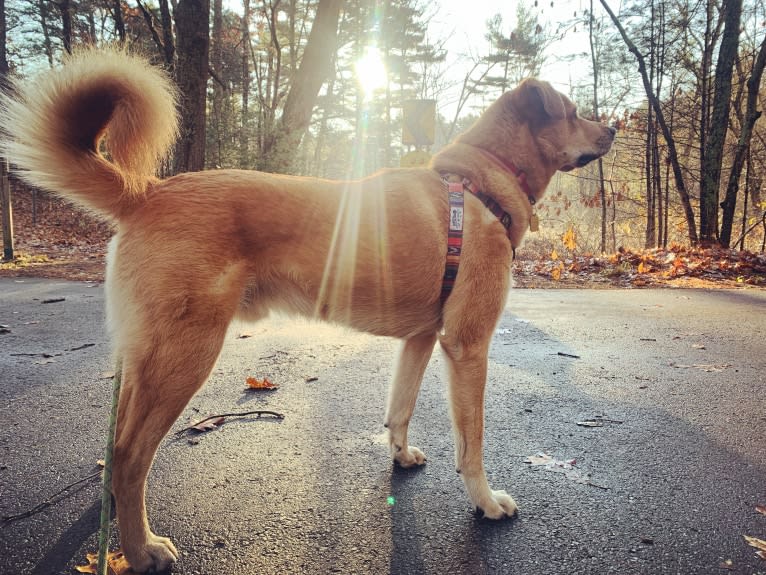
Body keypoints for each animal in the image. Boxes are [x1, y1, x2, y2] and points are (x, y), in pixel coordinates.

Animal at [0, 50, 612, 575]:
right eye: (573, 112)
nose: (610, 130)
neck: (478, 186)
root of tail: (147, 192)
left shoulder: (419, 339)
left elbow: (400, 408)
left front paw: (400, 454)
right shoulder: (467, 345)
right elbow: (473, 444)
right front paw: (485, 502)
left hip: (148, 359)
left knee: (117, 448)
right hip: (184, 356)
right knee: (130, 456)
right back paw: (141, 549)